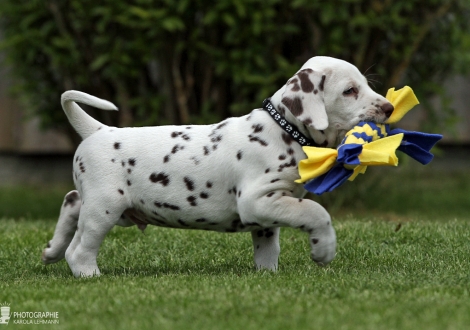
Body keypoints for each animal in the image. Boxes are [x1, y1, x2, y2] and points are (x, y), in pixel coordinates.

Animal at [41, 56, 392, 276]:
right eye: (349, 91)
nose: (388, 108)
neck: (284, 130)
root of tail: (98, 130)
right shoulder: (258, 200)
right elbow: (316, 212)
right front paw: (323, 250)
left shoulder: (268, 213)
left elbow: (268, 249)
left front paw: (268, 276)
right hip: (105, 207)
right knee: (80, 248)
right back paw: (88, 273)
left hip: (106, 205)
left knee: (71, 202)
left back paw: (52, 250)